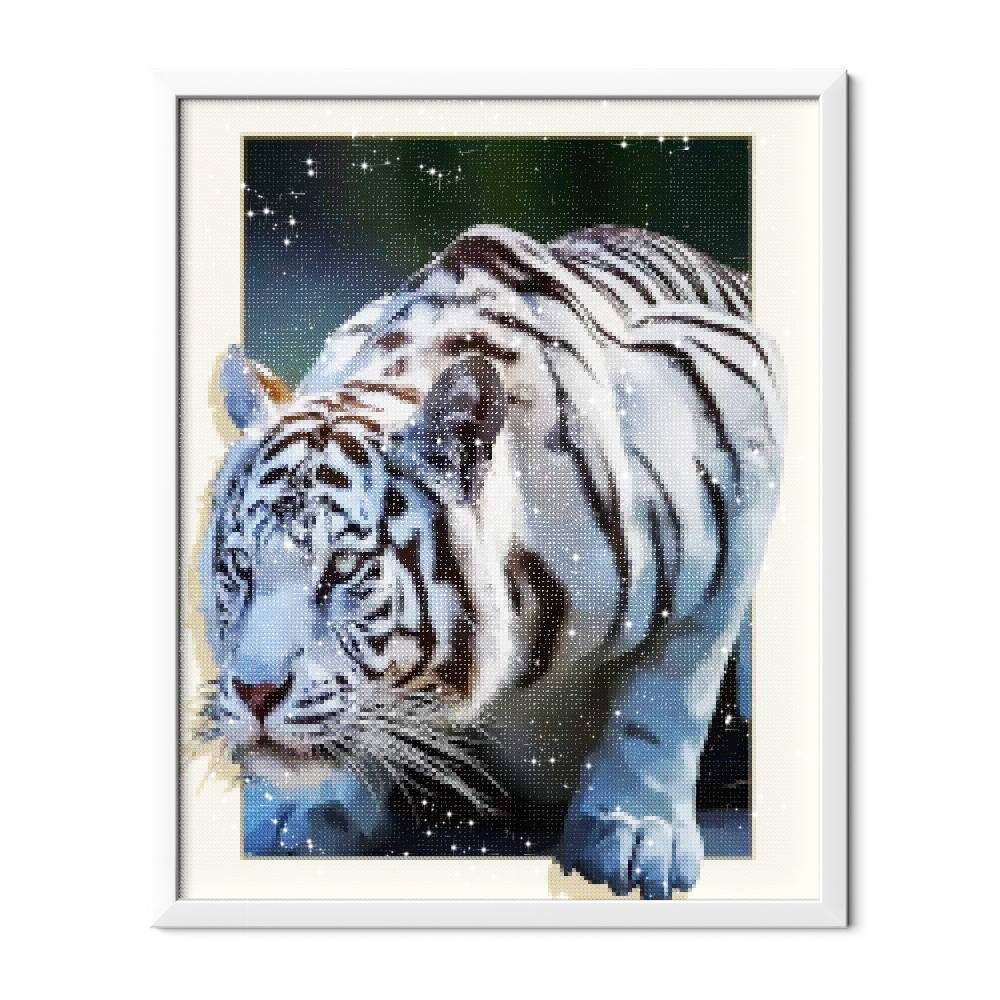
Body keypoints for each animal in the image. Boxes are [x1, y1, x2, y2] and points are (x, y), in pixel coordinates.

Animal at [198, 223, 785, 899]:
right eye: (240, 566)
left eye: (343, 568)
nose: (255, 694)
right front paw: (304, 809)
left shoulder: (741, 420)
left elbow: (669, 692)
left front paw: (636, 834)